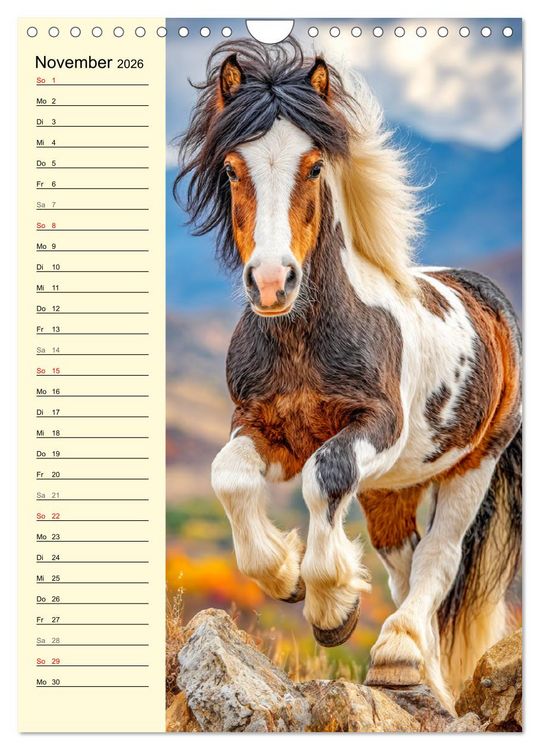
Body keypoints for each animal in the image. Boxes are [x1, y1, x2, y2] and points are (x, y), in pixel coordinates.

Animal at [175, 38, 522, 710]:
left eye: (313, 167)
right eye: (230, 168)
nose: (272, 283)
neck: (303, 341)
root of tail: (490, 299)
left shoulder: (372, 428)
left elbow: (323, 477)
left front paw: (331, 607)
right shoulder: (263, 426)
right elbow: (229, 477)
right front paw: (284, 575)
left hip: (475, 463)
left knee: (438, 560)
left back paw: (398, 654)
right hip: (394, 487)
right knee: (405, 567)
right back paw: (419, 674)